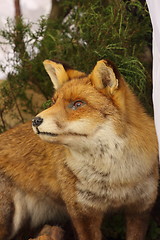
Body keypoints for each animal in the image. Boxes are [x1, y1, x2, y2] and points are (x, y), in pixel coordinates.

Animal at [0, 58, 158, 240]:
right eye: (54, 102)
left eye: (78, 104)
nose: (36, 120)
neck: (117, 179)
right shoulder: (82, 213)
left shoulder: (141, 208)